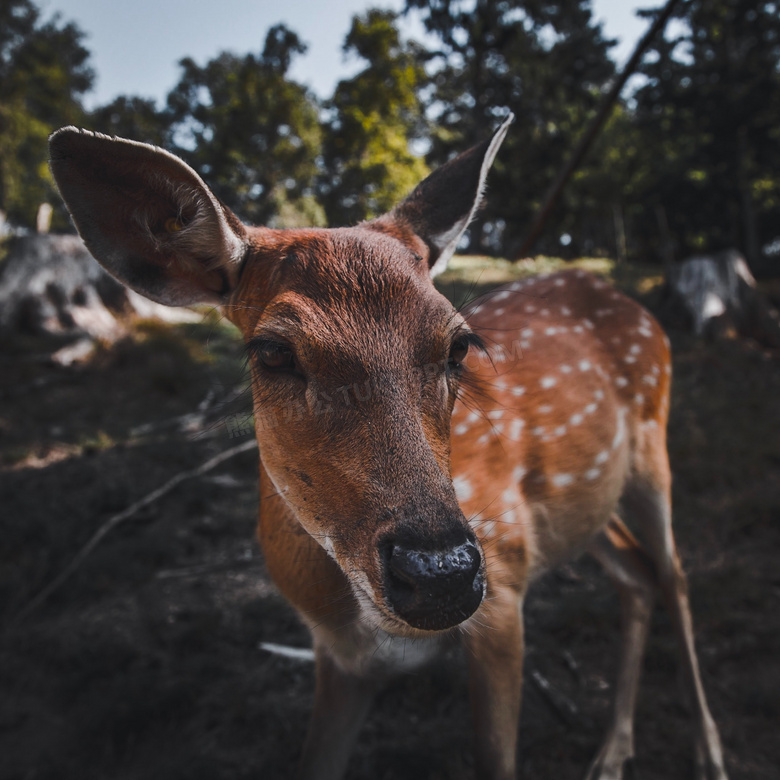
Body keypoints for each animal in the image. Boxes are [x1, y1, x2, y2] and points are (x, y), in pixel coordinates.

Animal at [50, 117, 732, 780]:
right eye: (272, 351)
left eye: (460, 344)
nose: (441, 576)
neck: (353, 612)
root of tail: (626, 298)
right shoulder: (340, 658)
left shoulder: (504, 593)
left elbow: (496, 757)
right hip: (587, 501)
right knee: (636, 574)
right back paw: (612, 753)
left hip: (651, 448)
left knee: (674, 574)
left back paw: (708, 752)